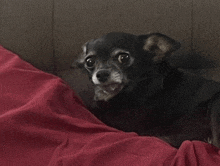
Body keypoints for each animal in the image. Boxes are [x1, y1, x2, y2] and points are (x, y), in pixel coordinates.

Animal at [73, 32, 220, 148]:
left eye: (124, 57)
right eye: (89, 62)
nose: (101, 74)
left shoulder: (123, 121)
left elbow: (94, 111)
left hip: (215, 106)